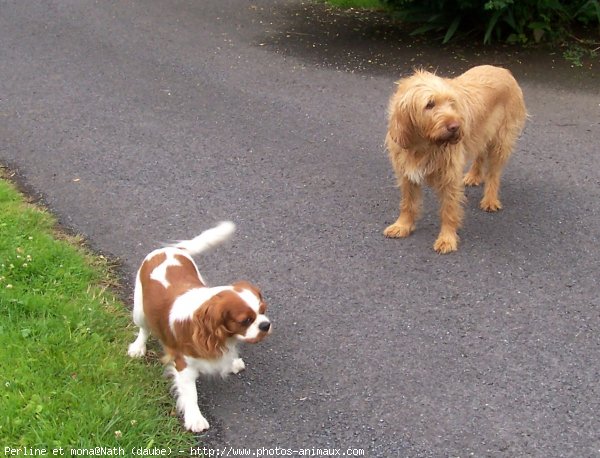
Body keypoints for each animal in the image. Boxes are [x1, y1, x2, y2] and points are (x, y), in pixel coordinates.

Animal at [130, 222, 274, 432]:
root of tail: (170, 249)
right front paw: (195, 419)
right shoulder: (183, 364)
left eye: (263, 310)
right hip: (140, 309)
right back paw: (137, 347)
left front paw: (232, 362)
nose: (266, 325)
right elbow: (191, 394)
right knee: (144, 329)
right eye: (246, 320)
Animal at [384, 65, 524, 254]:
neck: (425, 144)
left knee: (493, 174)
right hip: (481, 133)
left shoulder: (449, 177)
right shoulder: (407, 174)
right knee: (480, 154)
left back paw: (490, 199)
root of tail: (501, 69)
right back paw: (474, 176)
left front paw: (447, 239)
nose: (456, 126)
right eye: (430, 104)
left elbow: (448, 210)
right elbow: (408, 203)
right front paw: (403, 225)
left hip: (501, 141)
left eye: (451, 102)